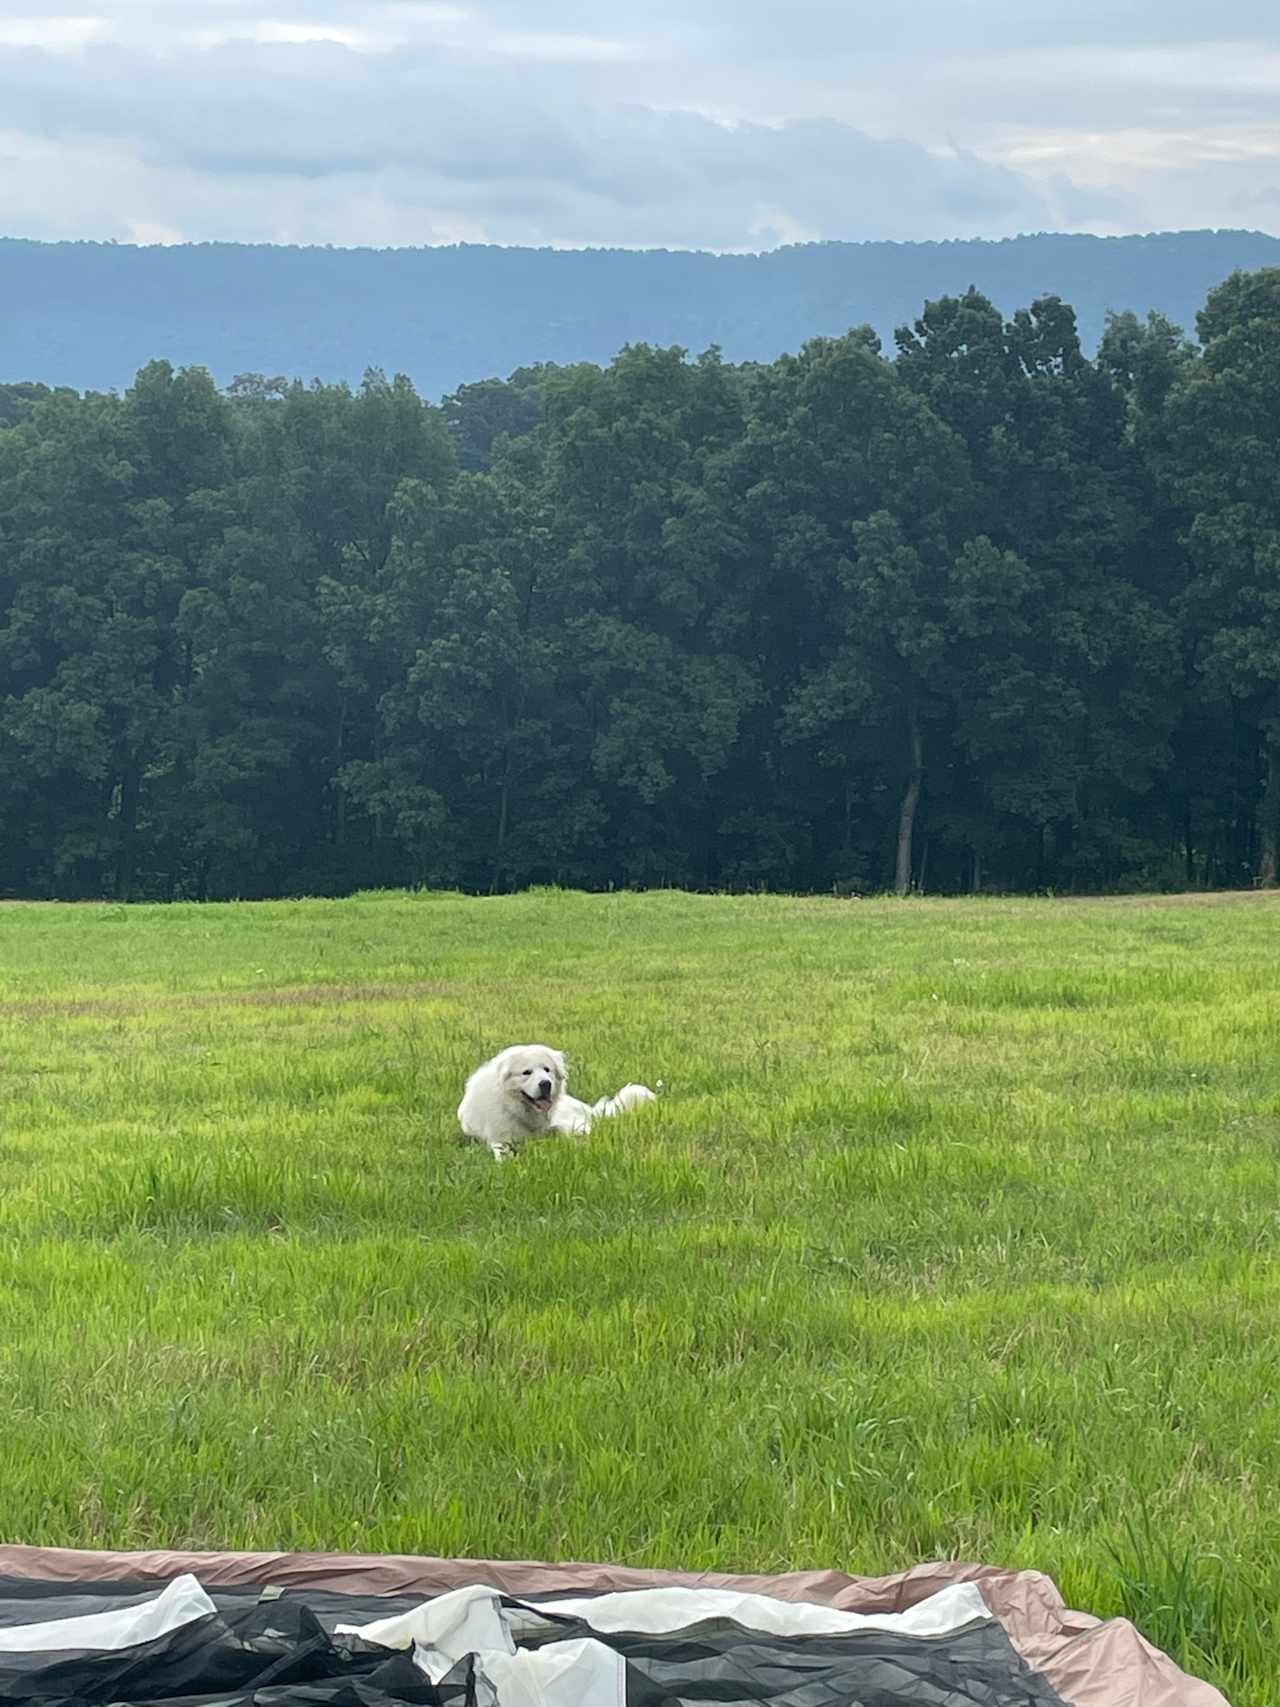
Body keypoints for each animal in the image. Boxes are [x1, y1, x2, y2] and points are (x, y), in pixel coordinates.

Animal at [457, 1044, 655, 1167]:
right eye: (526, 1072)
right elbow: (500, 1149)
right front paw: (505, 1160)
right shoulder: (497, 1137)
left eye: (547, 1070)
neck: (517, 1109)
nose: (546, 1083)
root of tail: (589, 1108)